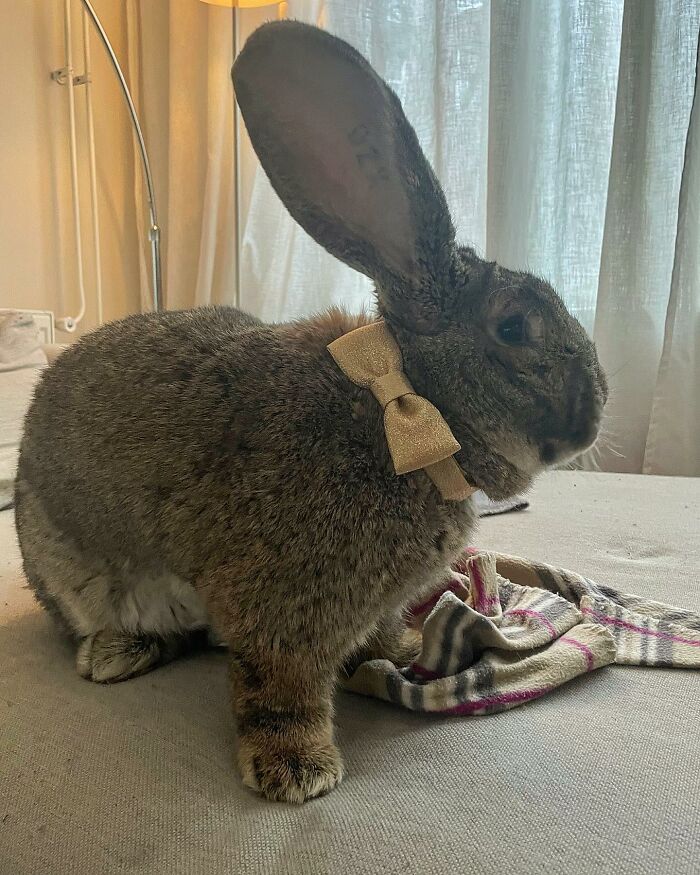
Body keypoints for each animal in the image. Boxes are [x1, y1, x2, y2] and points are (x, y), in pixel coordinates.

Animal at [15, 21, 607, 804]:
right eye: (513, 329)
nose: (594, 415)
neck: (409, 407)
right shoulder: (283, 605)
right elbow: (279, 684)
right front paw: (296, 770)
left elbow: (375, 634)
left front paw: (405, 646)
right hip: (73, 575)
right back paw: (116, 652)